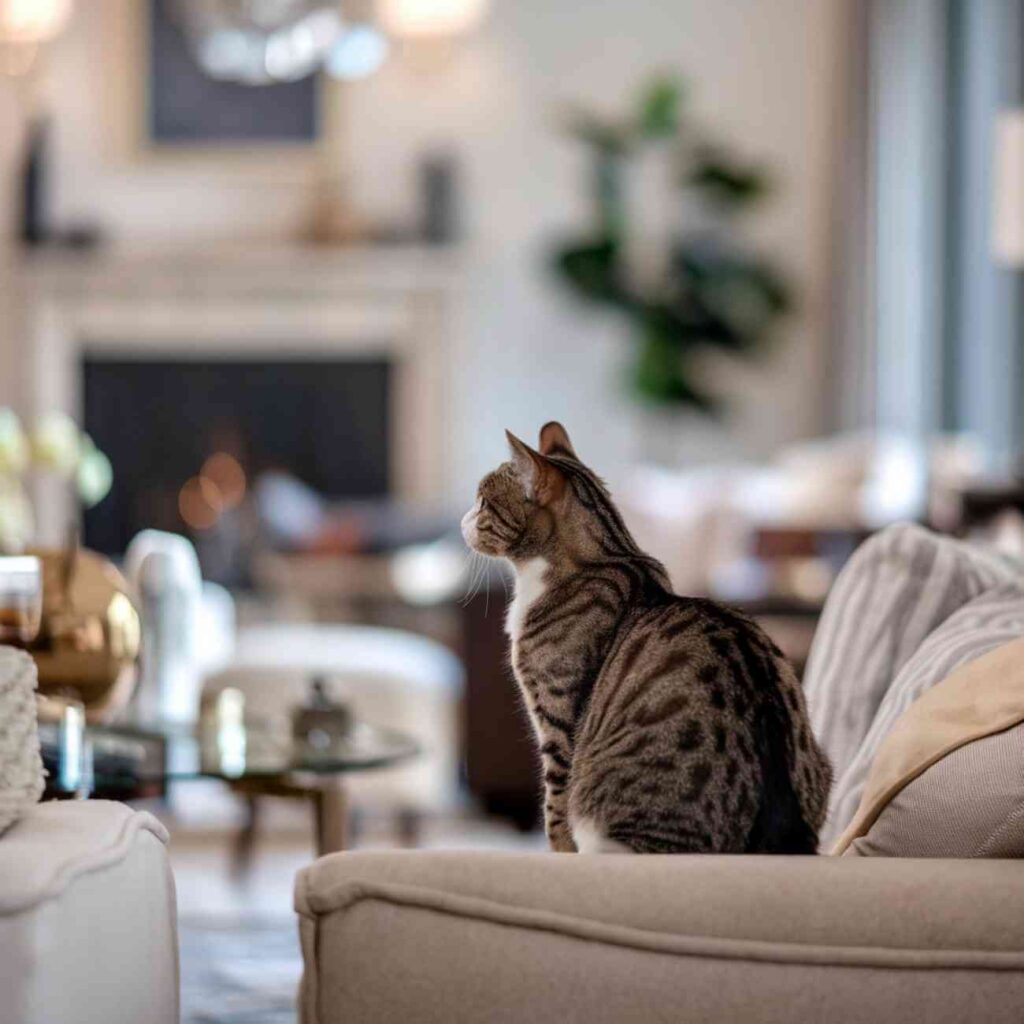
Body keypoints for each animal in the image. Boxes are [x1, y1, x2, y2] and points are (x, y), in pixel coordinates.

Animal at [462, 419, 831, 851]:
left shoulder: (557, 718)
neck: (608, 557)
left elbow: (555, 811)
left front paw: (558, 853)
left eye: (482, 502)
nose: (462, 521)